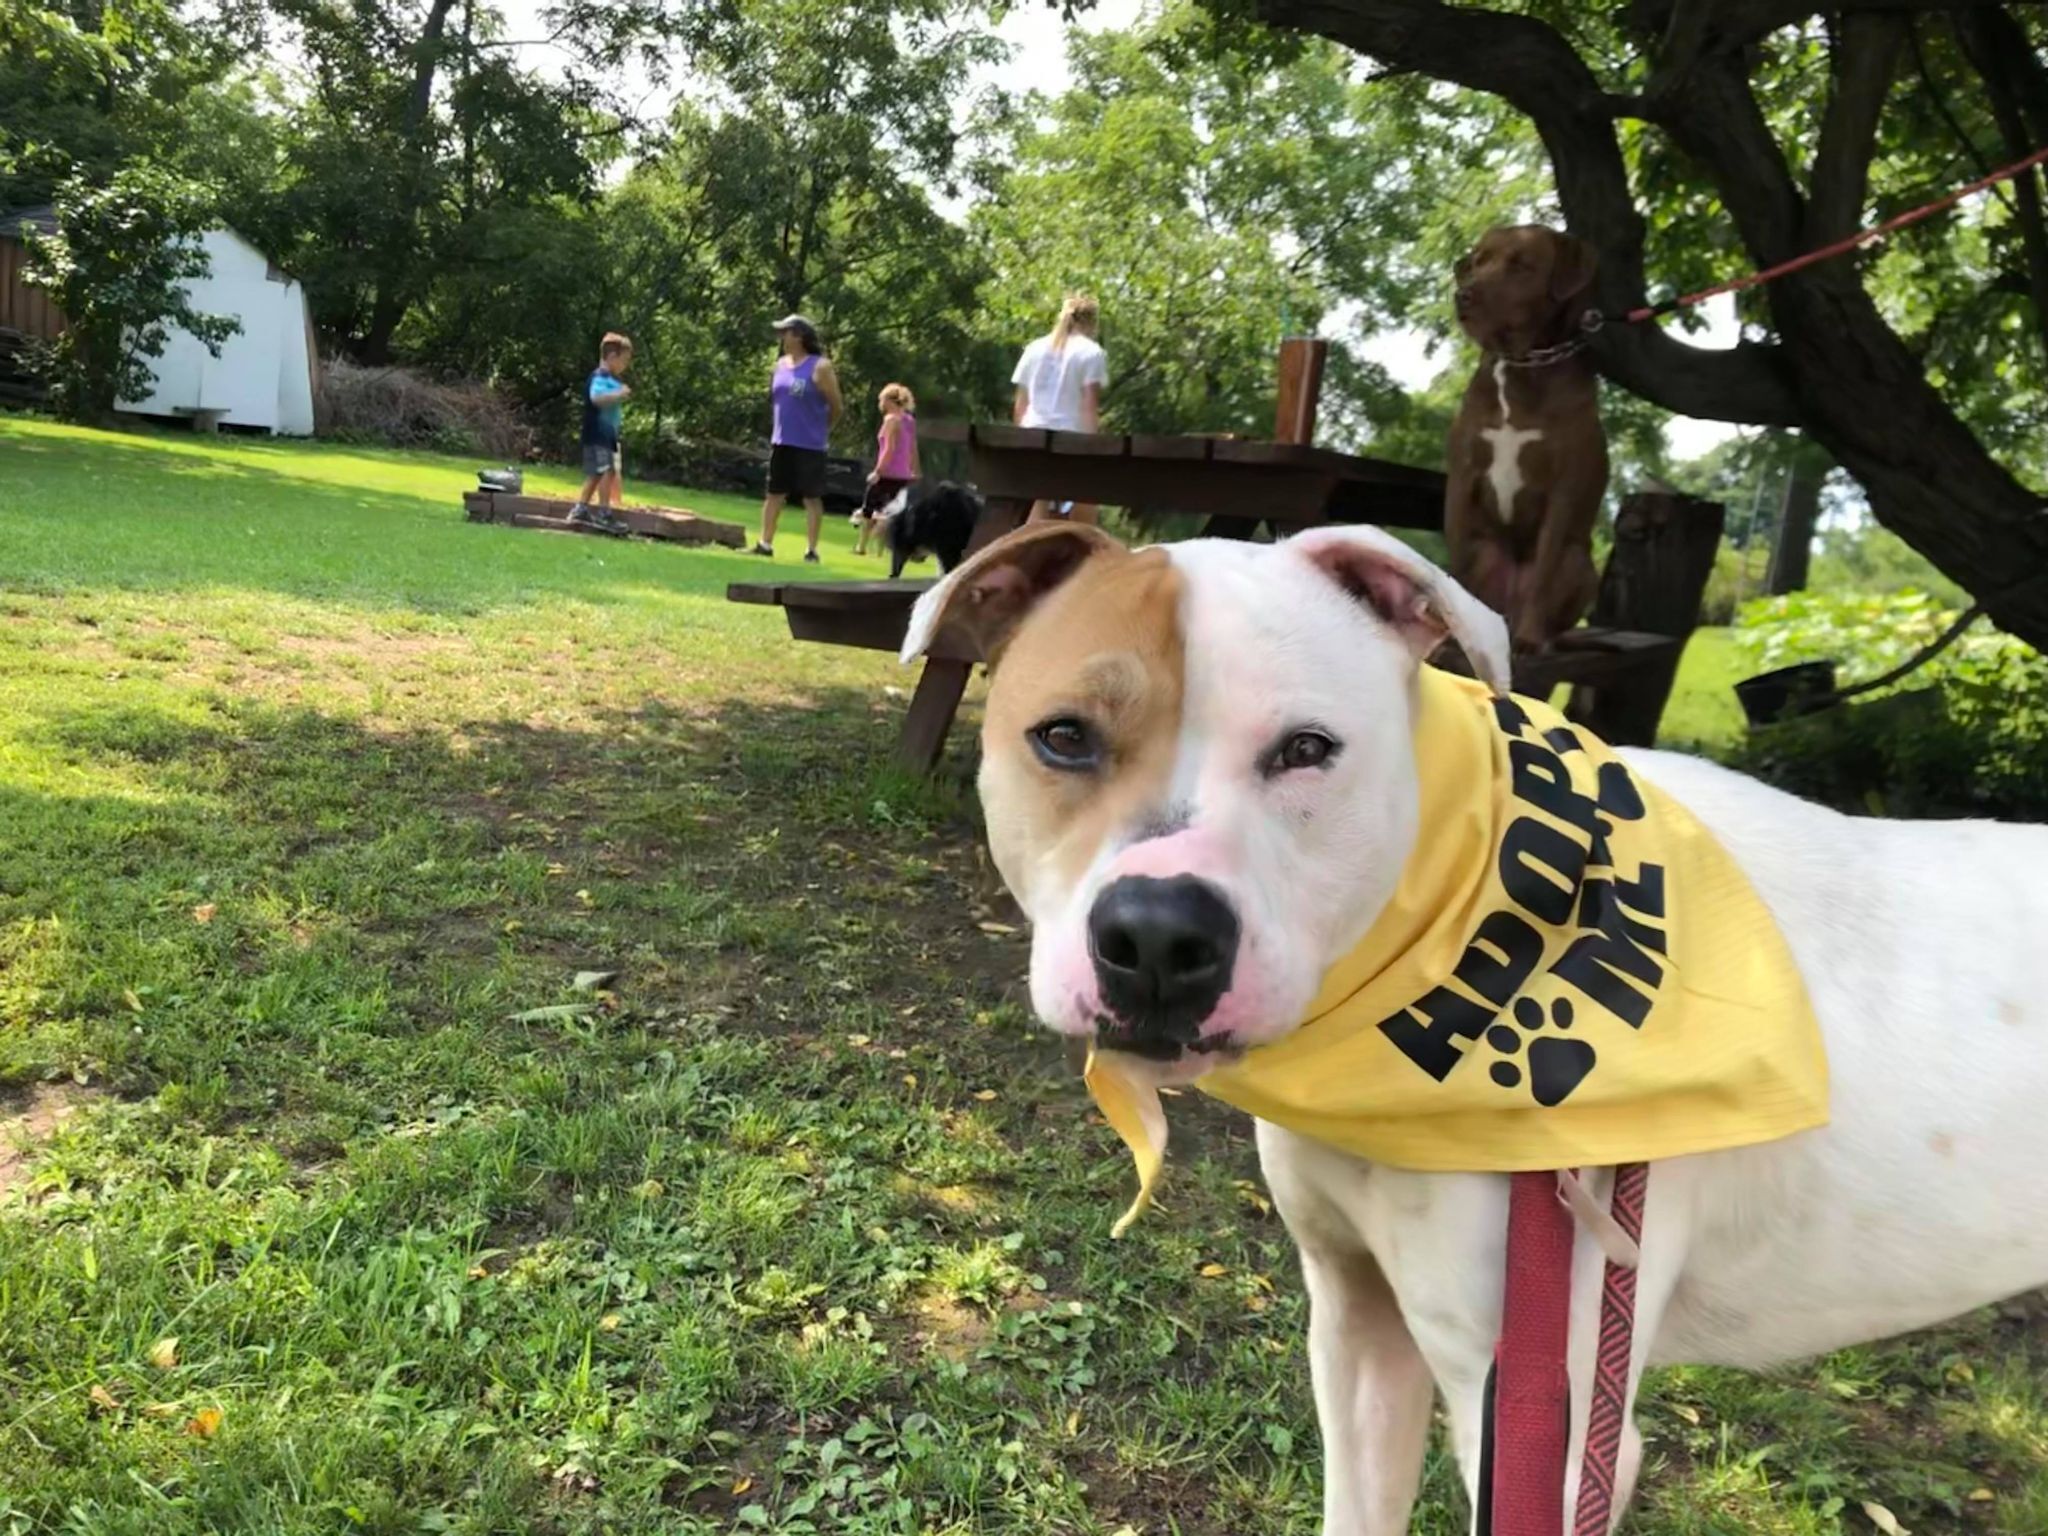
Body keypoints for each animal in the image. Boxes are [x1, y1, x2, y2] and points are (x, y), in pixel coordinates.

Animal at [1441, 230, 1613, 655]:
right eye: (1478, 261)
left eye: (1521, 265)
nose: (1463, 294)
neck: (1522, 363)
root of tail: (1507, 615)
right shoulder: (1462, 476)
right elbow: (1455, 564)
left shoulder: (1562, 491)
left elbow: (1544, 573)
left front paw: (1531, 640)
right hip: (1486, 552)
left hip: (1580, 564)